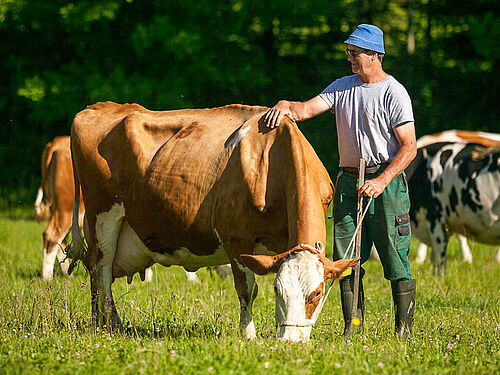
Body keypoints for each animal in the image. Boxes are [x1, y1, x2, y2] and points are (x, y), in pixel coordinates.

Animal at [67, 101, 360, 342]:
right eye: (278, 291)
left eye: (317, 294)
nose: (290, 341)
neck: (271, 164)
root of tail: (97, 107)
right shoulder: (235, 238)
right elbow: (247, 290)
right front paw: (248, 335)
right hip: (103, 216)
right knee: (101, 270)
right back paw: (111, 325)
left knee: (96, 272)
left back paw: (99, 323)